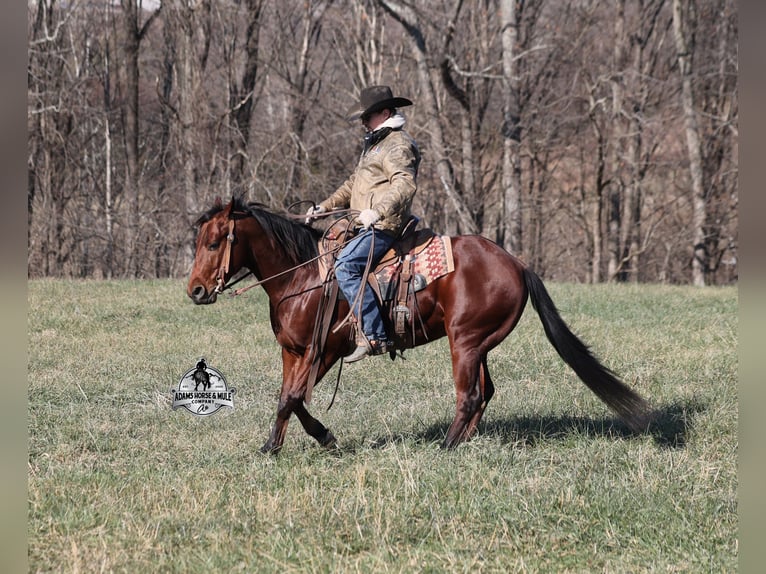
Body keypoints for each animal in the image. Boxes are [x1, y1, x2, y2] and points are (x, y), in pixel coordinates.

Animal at [187, 196, 652, 454]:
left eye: (214, 241)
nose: (195, 290)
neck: (301, 278)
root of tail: (518, 265)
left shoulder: (326, 351)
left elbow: (293, 399)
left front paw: (323, 439)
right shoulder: (293, 352)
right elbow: (288, 400)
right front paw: (274, 445)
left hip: (464, 342)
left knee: (469, 395)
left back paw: (446, 446)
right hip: (477, 345)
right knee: (484, 393)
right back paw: (464, 441)